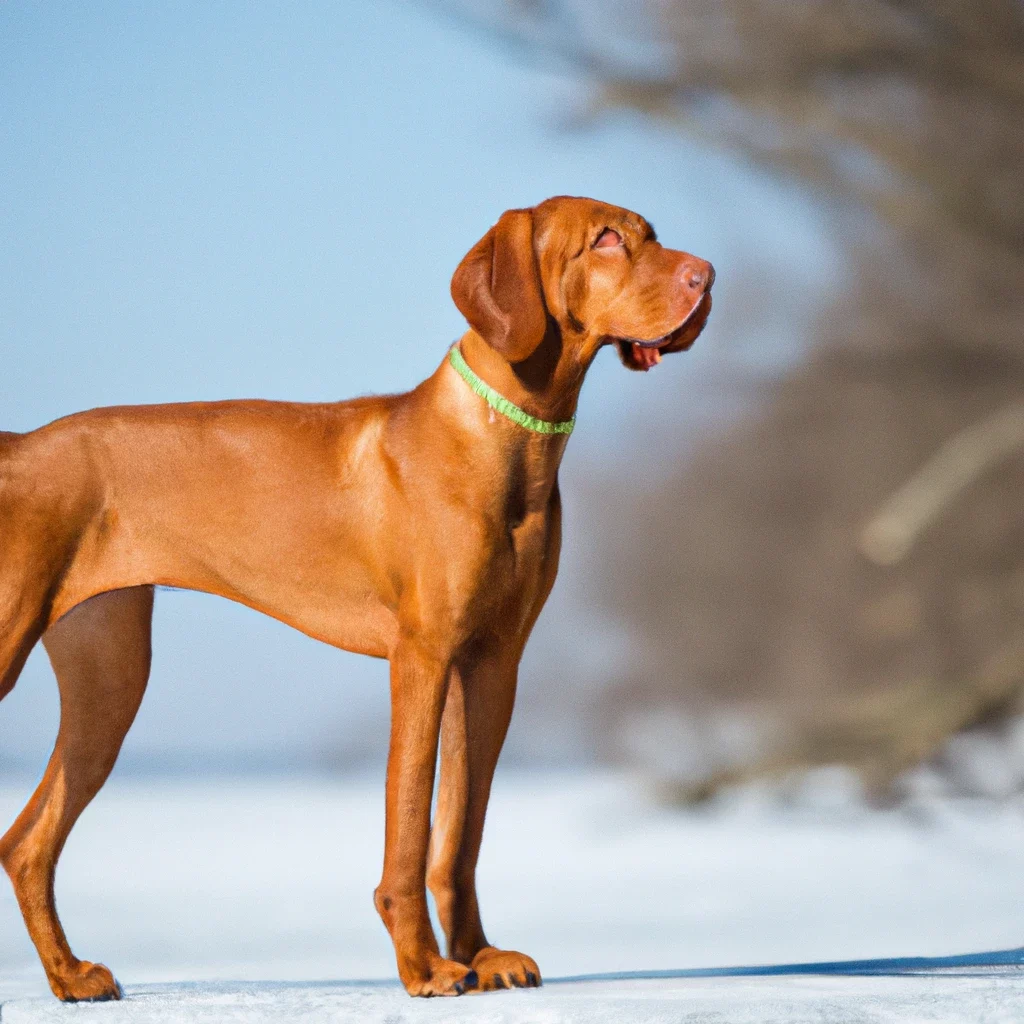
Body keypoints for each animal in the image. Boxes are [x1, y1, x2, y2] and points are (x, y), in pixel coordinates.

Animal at [0, 193, 712, 999]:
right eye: (606, 240)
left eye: (651, 233)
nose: (709, 275)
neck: (509, 440)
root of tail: (18, 446)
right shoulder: (422, 659)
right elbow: (410, 826)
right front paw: (425, 966)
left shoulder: (493, 664)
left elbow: (461, 830)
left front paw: (479, 954)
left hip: (110, 674)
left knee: (26, 843)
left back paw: (70, 974)